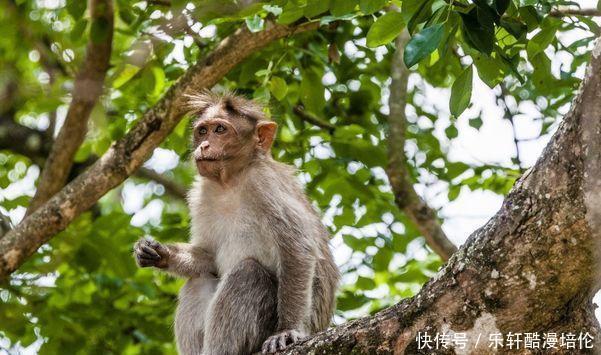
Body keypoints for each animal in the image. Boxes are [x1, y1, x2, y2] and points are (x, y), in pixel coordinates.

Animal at [134, 92, 340, 355]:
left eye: (220, 129)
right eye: (203, 131)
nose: (203, 146)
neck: (229, 182)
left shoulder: (265, 184)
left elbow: (297, 249)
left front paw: (287, 330)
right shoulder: (201, 195)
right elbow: (209, 255)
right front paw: (158, 252)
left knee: (248, 273)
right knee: (199, 281)